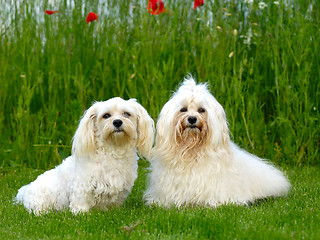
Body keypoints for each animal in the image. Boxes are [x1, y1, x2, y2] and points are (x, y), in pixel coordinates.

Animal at [15, 96, 154, 215]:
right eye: (106, 115)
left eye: (126, 114)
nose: (117, 122)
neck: (113, 150)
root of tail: (26, 191)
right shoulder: (82, 185)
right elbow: (81, 200)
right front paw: (81, 213)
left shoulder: (120, 188)